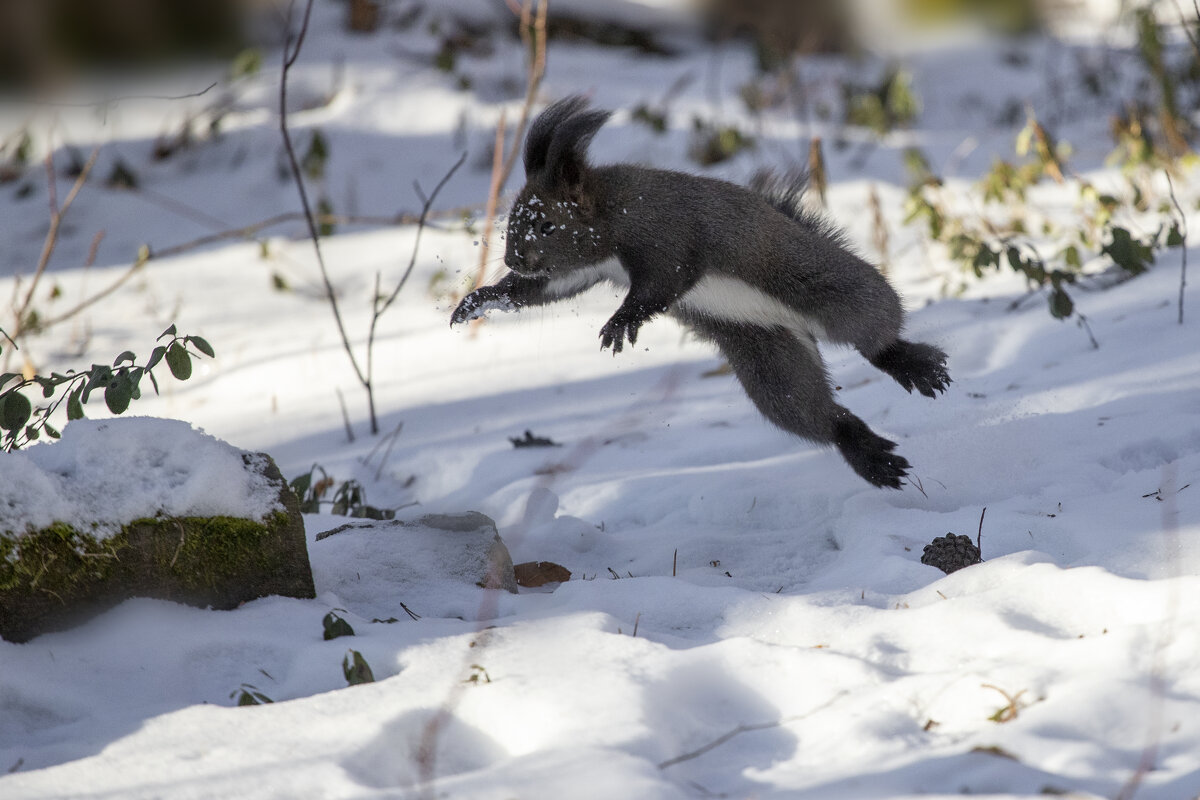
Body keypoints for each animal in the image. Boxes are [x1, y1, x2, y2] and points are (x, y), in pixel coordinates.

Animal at [451, 97, 945, 491]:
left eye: (547, 224)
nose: (513, 258)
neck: (612, 217)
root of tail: (802, 327)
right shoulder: (577, 270)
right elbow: (538, 290)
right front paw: (479, 300)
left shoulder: (666, 239)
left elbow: (660, 285)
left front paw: (621, 322)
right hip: (767, 354)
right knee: (814, 413)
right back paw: (870, 456)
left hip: (827, 285)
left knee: (874, 331)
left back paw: (910, 364)